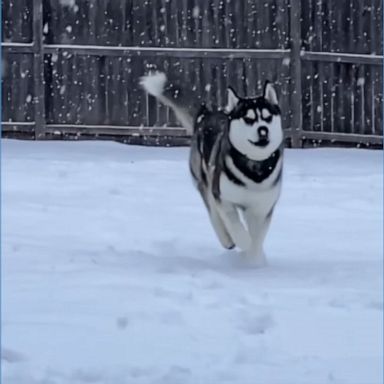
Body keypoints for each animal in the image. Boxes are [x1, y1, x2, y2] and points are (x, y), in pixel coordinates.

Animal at [140, 73, 284, 268]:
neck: (255, 168)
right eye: (248, 119)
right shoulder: (223, 198)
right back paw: (227, 239)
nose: (263, 131)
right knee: (214, 212)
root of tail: (207, 113)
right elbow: (234, 225)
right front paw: (243, 241)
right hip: (204, 180)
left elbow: (258, 237)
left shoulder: (262, 207)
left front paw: (254, 260)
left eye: (268, 117)